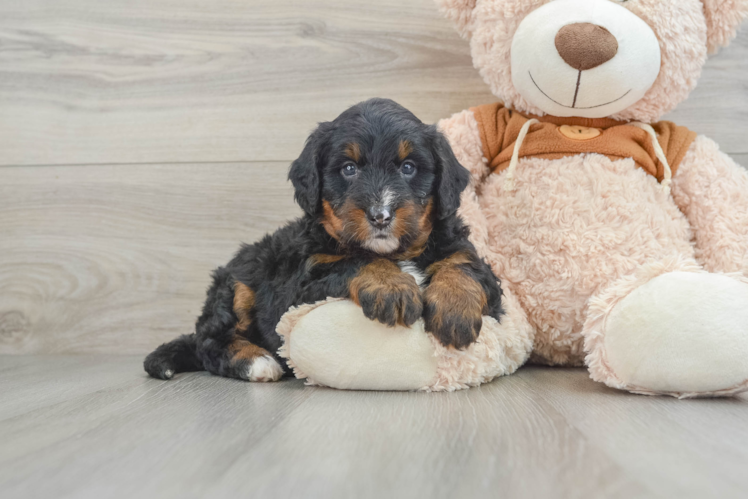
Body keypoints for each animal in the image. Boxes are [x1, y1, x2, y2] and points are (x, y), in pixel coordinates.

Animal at [143, 98, 506, 382]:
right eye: (348, 169)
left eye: (407, 167)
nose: (380, 215)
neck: (395, 252)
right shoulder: (305, 281)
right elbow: (357, 260)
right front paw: (392, 287)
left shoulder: (466, 256)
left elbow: (462, 266)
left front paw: (455, 311)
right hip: (237, 283)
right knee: (209, 341)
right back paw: (258, 362)